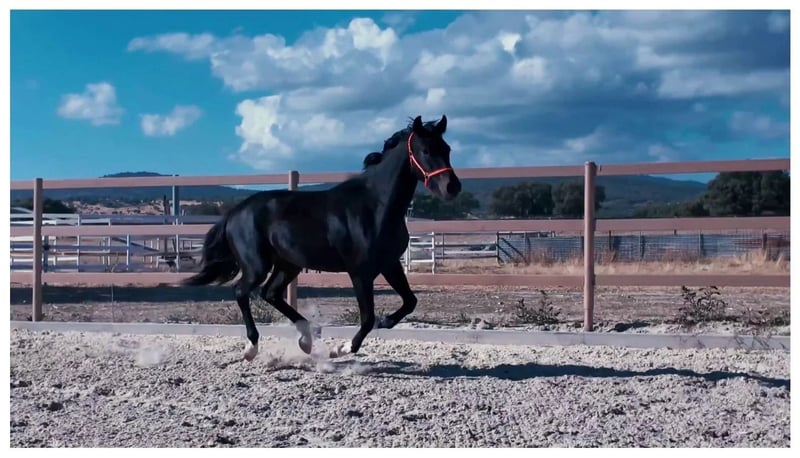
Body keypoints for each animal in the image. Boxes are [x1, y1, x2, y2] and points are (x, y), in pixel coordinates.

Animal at [182, 115, 461, 361]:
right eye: (425, 150)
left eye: (447, 149)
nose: (452, 187)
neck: (376, 206)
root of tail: (235, 212)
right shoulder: (360, 271)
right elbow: (367, 317)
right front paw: (342, 348)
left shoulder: (390, 264)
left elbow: (409, 301)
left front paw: (386, 321)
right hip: (257, 265)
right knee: (242, 291)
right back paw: (252, 348)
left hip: (288, 265)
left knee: (270, 293)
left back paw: (307, 338)